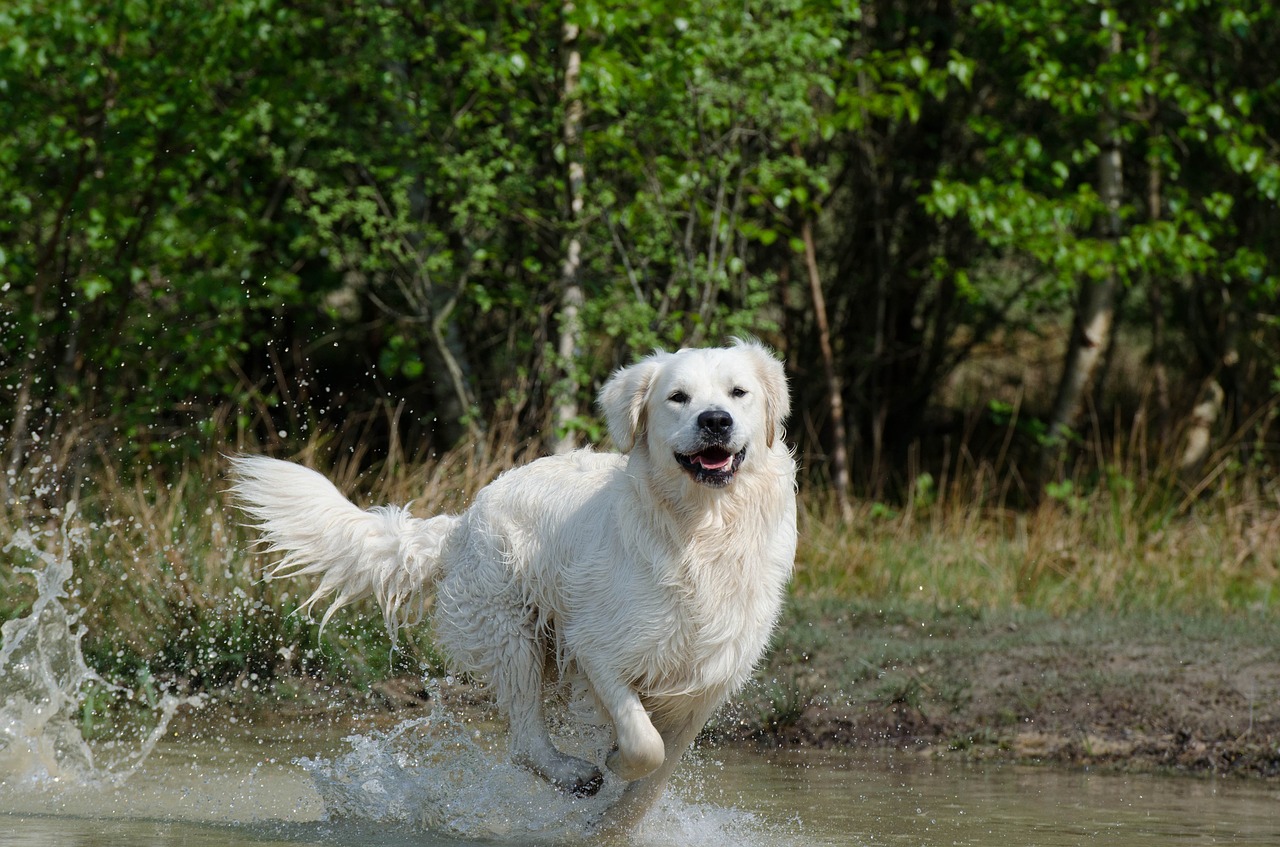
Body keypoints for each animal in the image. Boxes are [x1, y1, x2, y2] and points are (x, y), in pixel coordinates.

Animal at [227, 337, 788, 829]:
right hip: (512, 633)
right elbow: (643, 746)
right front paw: (610, 765)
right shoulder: (597, 648)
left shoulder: (707, 684)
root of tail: (463, 522)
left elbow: (653, 780)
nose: (715, 420)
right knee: (523, 742)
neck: (701, 531)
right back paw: (573, 774)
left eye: (738, 393)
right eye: (678, 397)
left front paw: (611, 827)